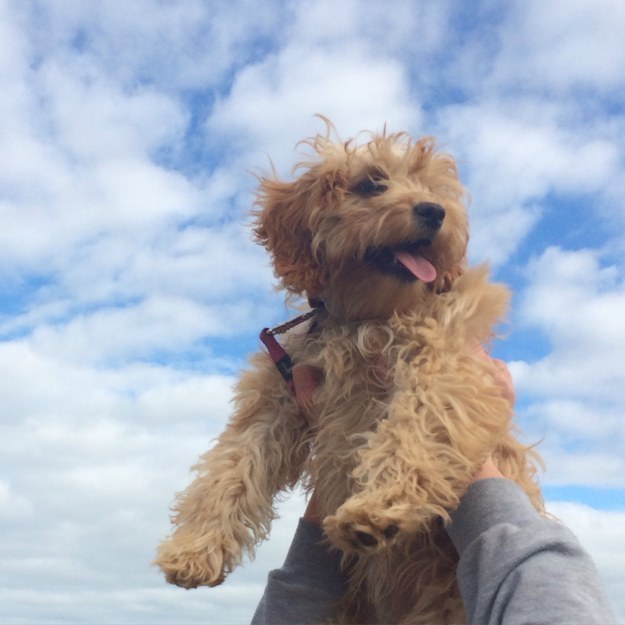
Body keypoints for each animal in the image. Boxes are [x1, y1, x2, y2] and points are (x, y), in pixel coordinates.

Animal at [155, 119, 540, 620]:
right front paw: (193, 548)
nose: (435, 211)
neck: (366, 314)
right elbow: (232, 465)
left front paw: (378, 508)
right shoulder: (279, 397)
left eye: (434, 190)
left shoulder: (447, 365)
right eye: (371, 184)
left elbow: (416, 425)